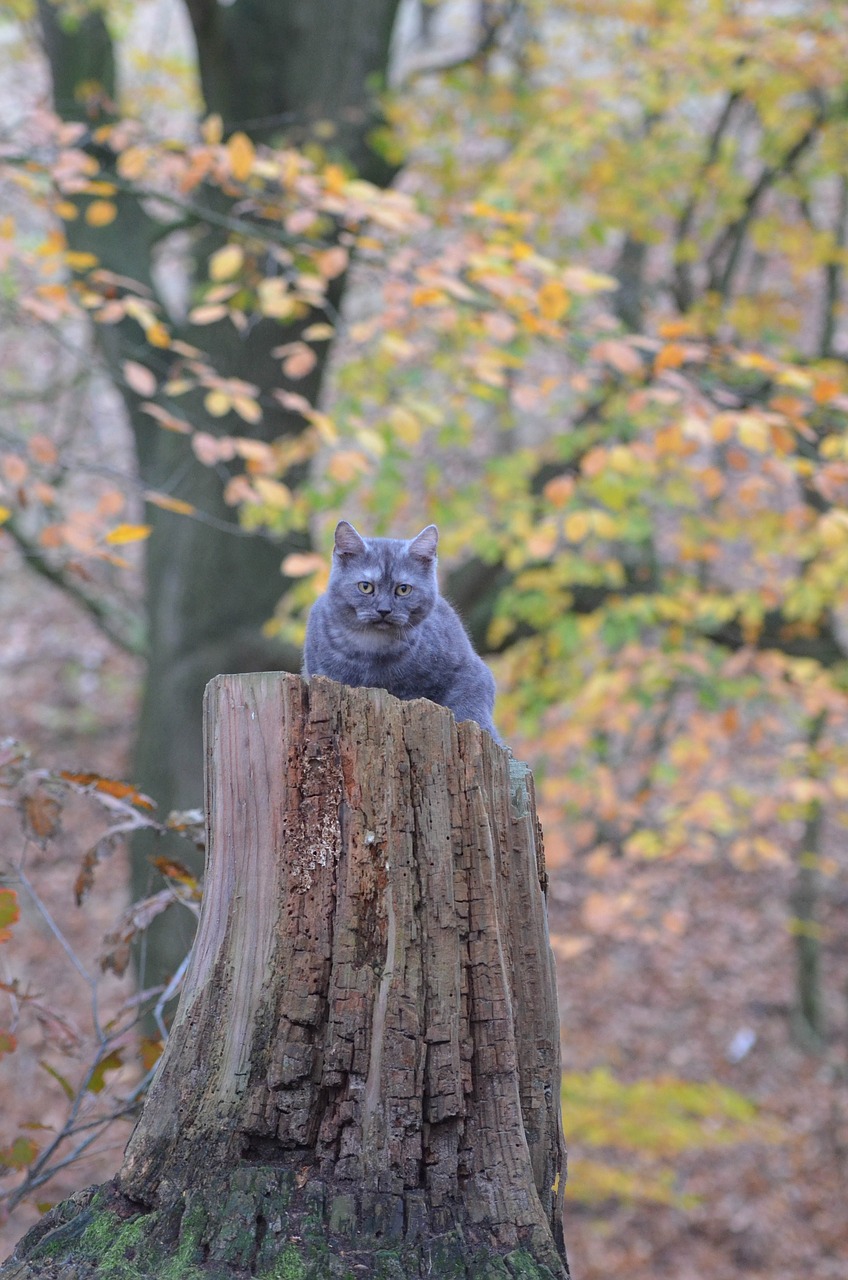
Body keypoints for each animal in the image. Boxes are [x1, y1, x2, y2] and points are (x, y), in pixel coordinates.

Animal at [306, 517, 502, 742]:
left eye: (403, 589)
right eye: (365, 587)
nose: (384, 610)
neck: (371, 647)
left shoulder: (471, 673)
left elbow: (469, 706)